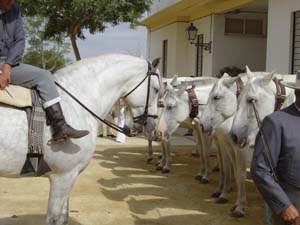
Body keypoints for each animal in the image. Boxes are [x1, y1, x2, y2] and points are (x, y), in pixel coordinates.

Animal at [0, 53, 162, 225]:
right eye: (156, 89)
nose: (152, 125)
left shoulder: (69, 177)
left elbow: (63, 218)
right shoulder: (63, 177)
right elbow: (55, 219)